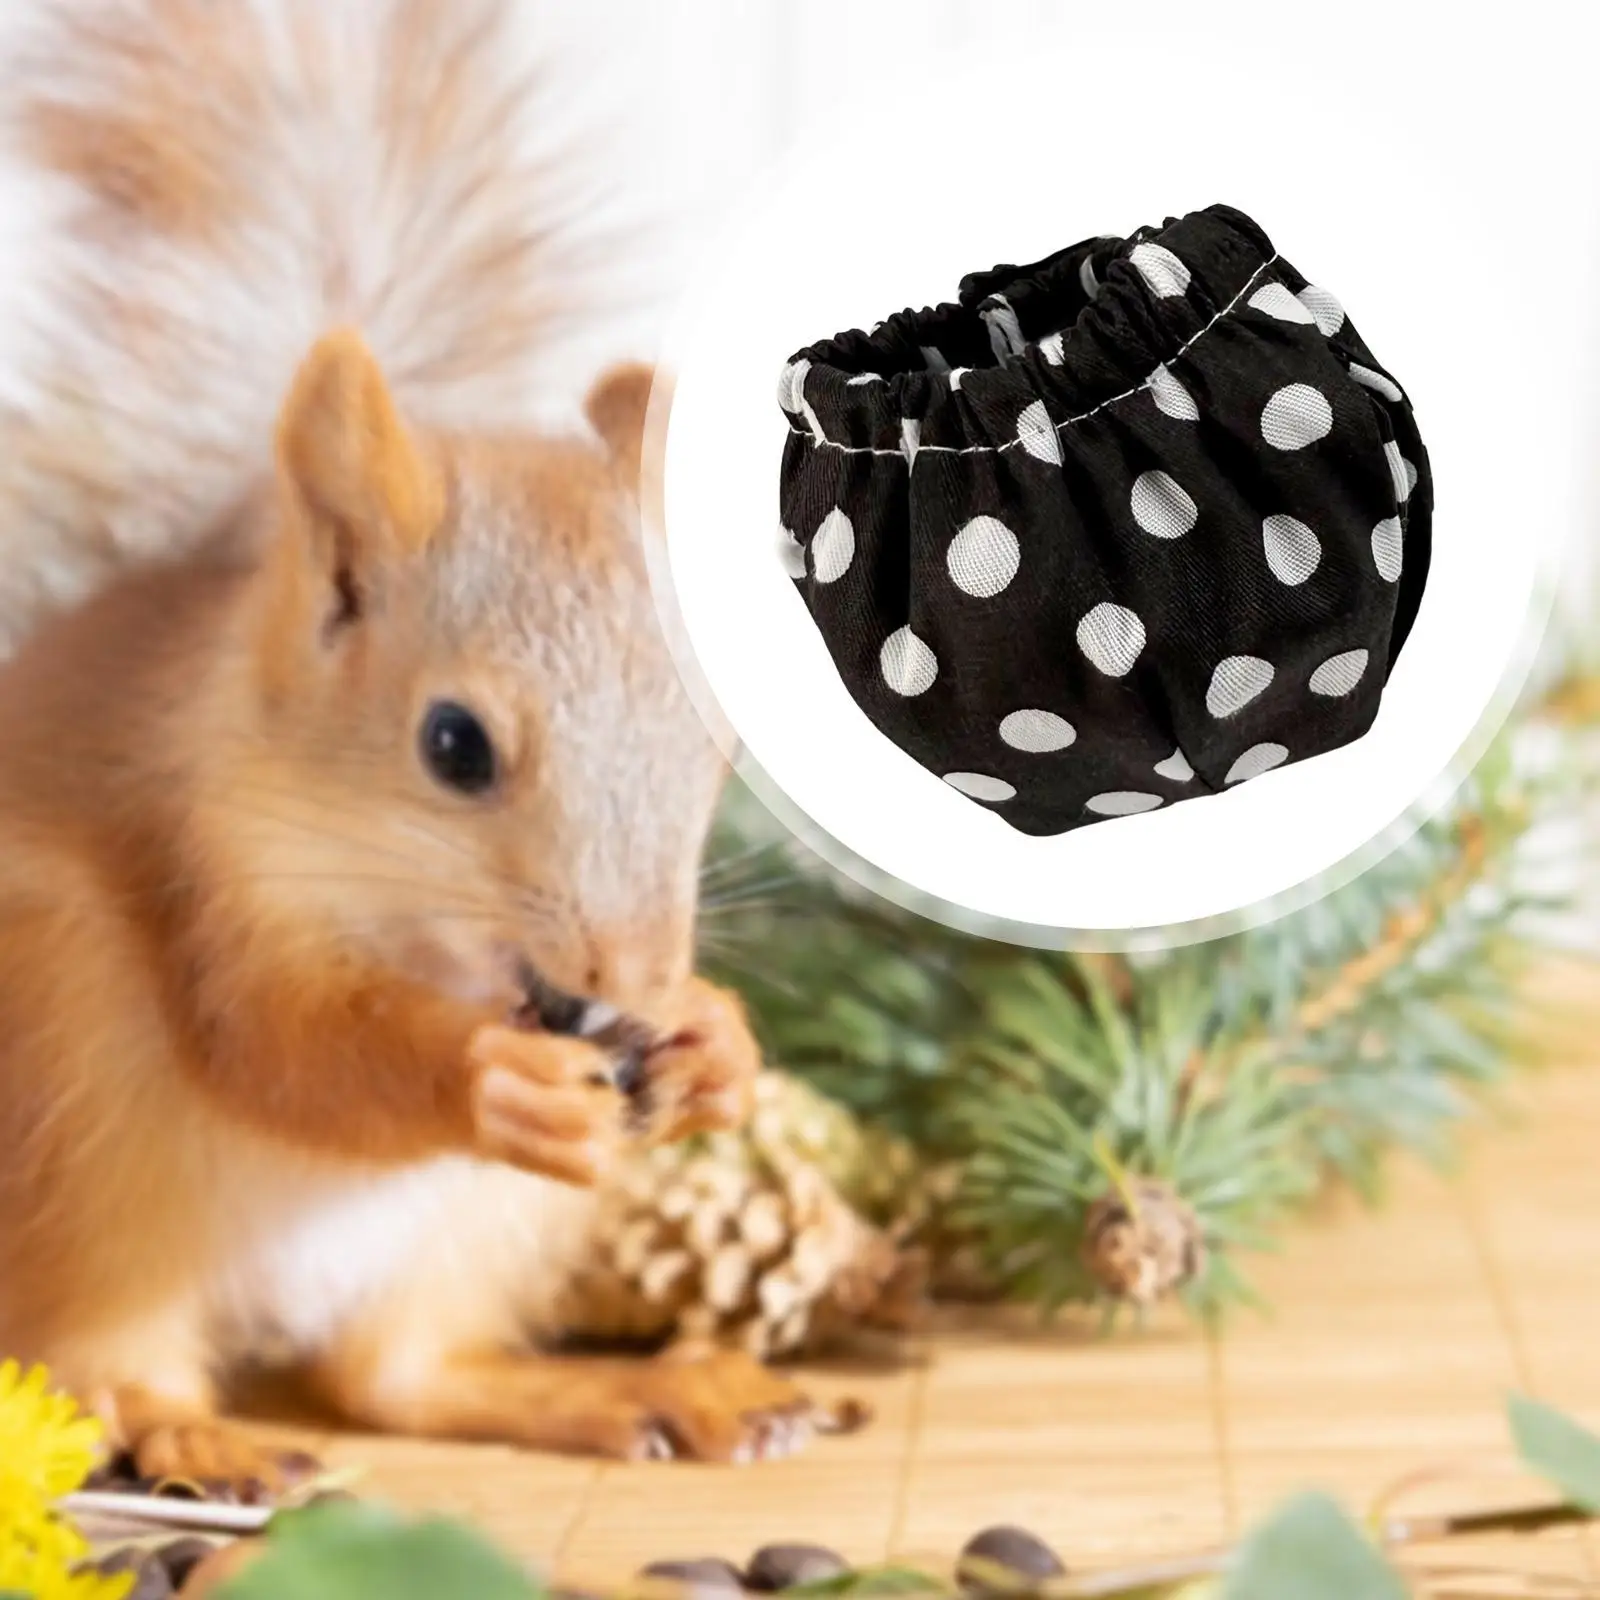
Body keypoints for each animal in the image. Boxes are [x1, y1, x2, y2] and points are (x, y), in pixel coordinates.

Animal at [0, 0, 820, 1475]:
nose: (633, 975)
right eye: (452, 745)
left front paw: (718, 1042)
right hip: (74, 1095)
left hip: (476, 1232)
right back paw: (195, 1434)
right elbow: (279, 1047)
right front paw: (492, 1080)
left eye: (720, 740)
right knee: (98, 1362)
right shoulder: (215, 875)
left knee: (393, 1379)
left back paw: (637, 1390)